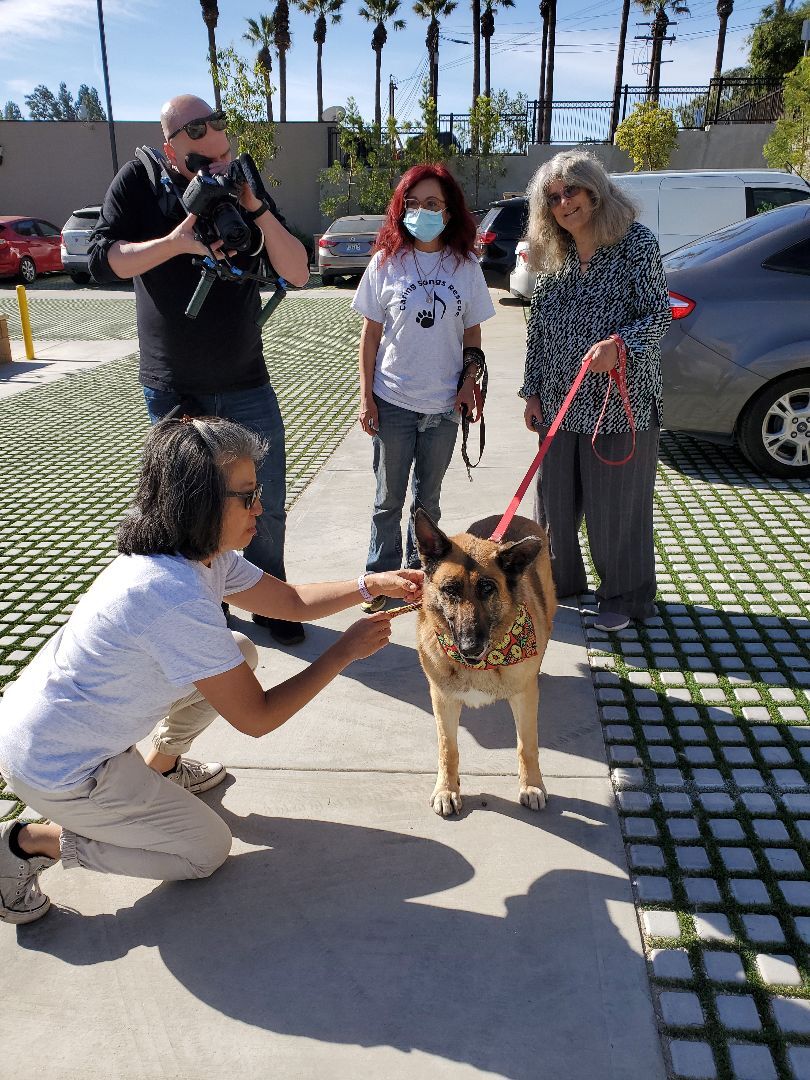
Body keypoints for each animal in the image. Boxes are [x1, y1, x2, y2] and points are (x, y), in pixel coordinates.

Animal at [412, 509, 557, 812]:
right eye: (450, 590)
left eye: (487, 588)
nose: (470, 647)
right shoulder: (442, 699)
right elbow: (448, 748)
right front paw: (447, 789)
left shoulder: (524, 698)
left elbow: (527, 746)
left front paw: (532, 785)